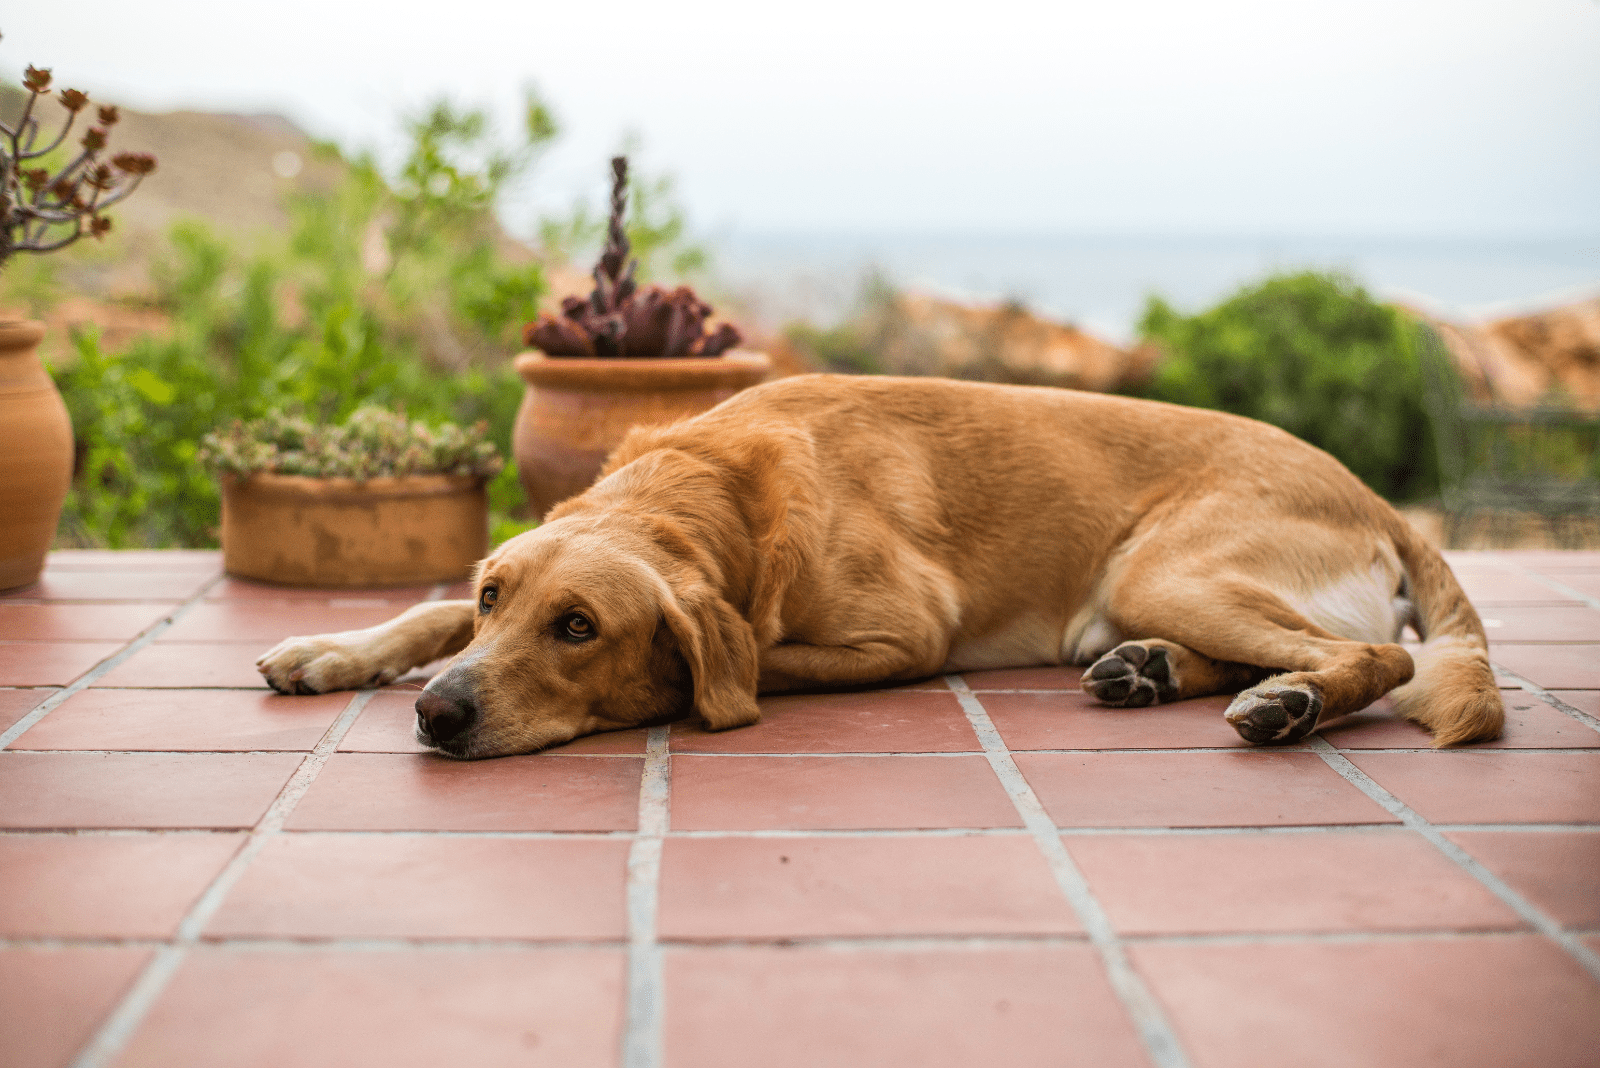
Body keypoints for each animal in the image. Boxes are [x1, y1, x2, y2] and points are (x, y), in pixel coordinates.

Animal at [259, 370, 1497, 754]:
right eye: (494, 599)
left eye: (579, 629)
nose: (439, 717)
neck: (717, 489)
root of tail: (1376, 496)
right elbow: (422, 617)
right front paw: (334, 647)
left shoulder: (902, 636)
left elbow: (744, 656)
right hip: (1147, 593)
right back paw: (1157, 673)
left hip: (1163, 567)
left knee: (1373, 660)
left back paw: (1286, 705)